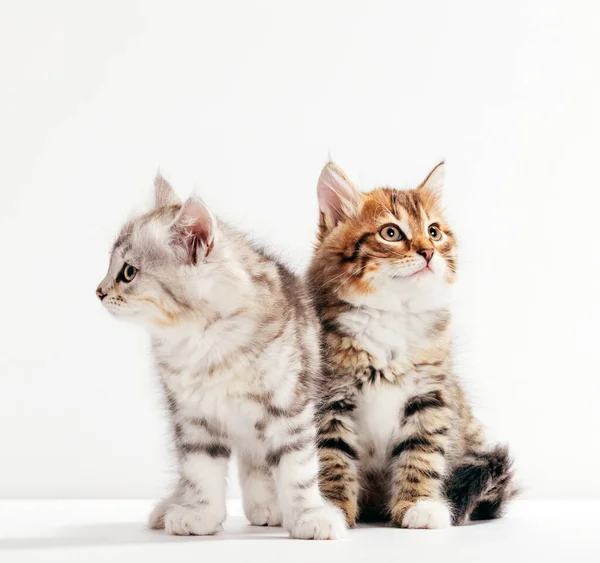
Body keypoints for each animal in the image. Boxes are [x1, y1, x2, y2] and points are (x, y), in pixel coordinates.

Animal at [96, 174, 344, 540]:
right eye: (111, 267)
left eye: (128, 272)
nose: (98, 291)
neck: (203, 340)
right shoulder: (193, 418)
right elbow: (201, 472)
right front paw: (199, 516)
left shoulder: (288, 407)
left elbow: (297, 469)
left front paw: (309, 516)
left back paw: (267, 508)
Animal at [310, 162, 516, 528]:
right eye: (391, 233)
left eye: (433, 232)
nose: (428, 252)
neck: (391, 316)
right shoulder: (329, 399)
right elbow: (332, 460)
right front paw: (331, 510)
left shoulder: (430, 395)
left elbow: (421, 454)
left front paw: (420, 506)